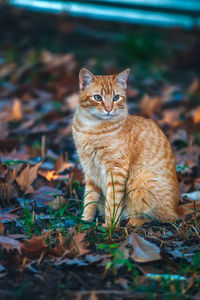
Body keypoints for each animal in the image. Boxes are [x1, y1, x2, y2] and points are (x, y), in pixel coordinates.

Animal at [72, 68, 197, 227]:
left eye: (116, 98)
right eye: (98, 97)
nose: (108, 109)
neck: (91, 128)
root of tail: (176, 208)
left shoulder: (116, 170)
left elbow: (112, 201)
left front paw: (110, 225)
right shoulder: (90, 170)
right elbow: (89, 199)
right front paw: (85, 221)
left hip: (141, 180)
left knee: (163, 218)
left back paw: (135, 220)